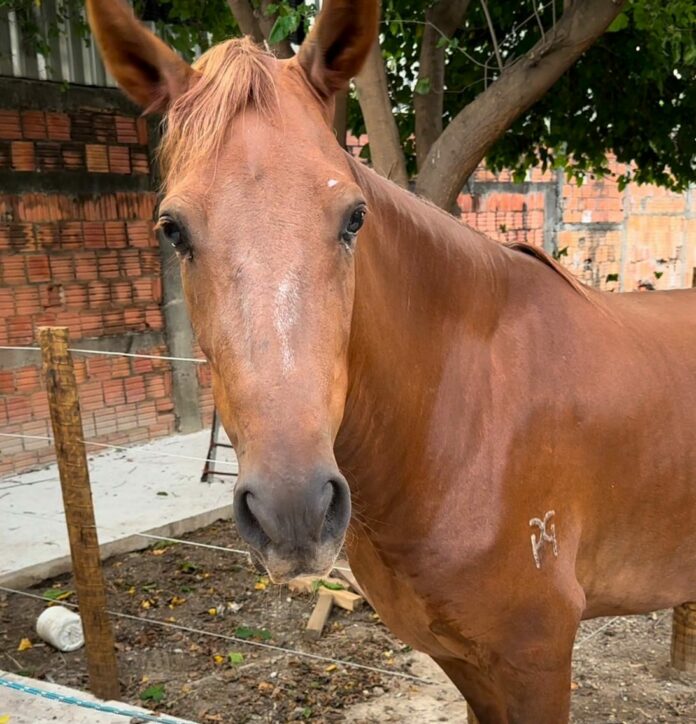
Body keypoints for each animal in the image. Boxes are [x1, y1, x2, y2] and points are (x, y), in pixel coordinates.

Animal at [86, 1, 696, 721]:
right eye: (172, 228)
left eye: (354, 217)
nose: (293, 512)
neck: (469, 414)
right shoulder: (463, 661)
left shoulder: (536, 658)